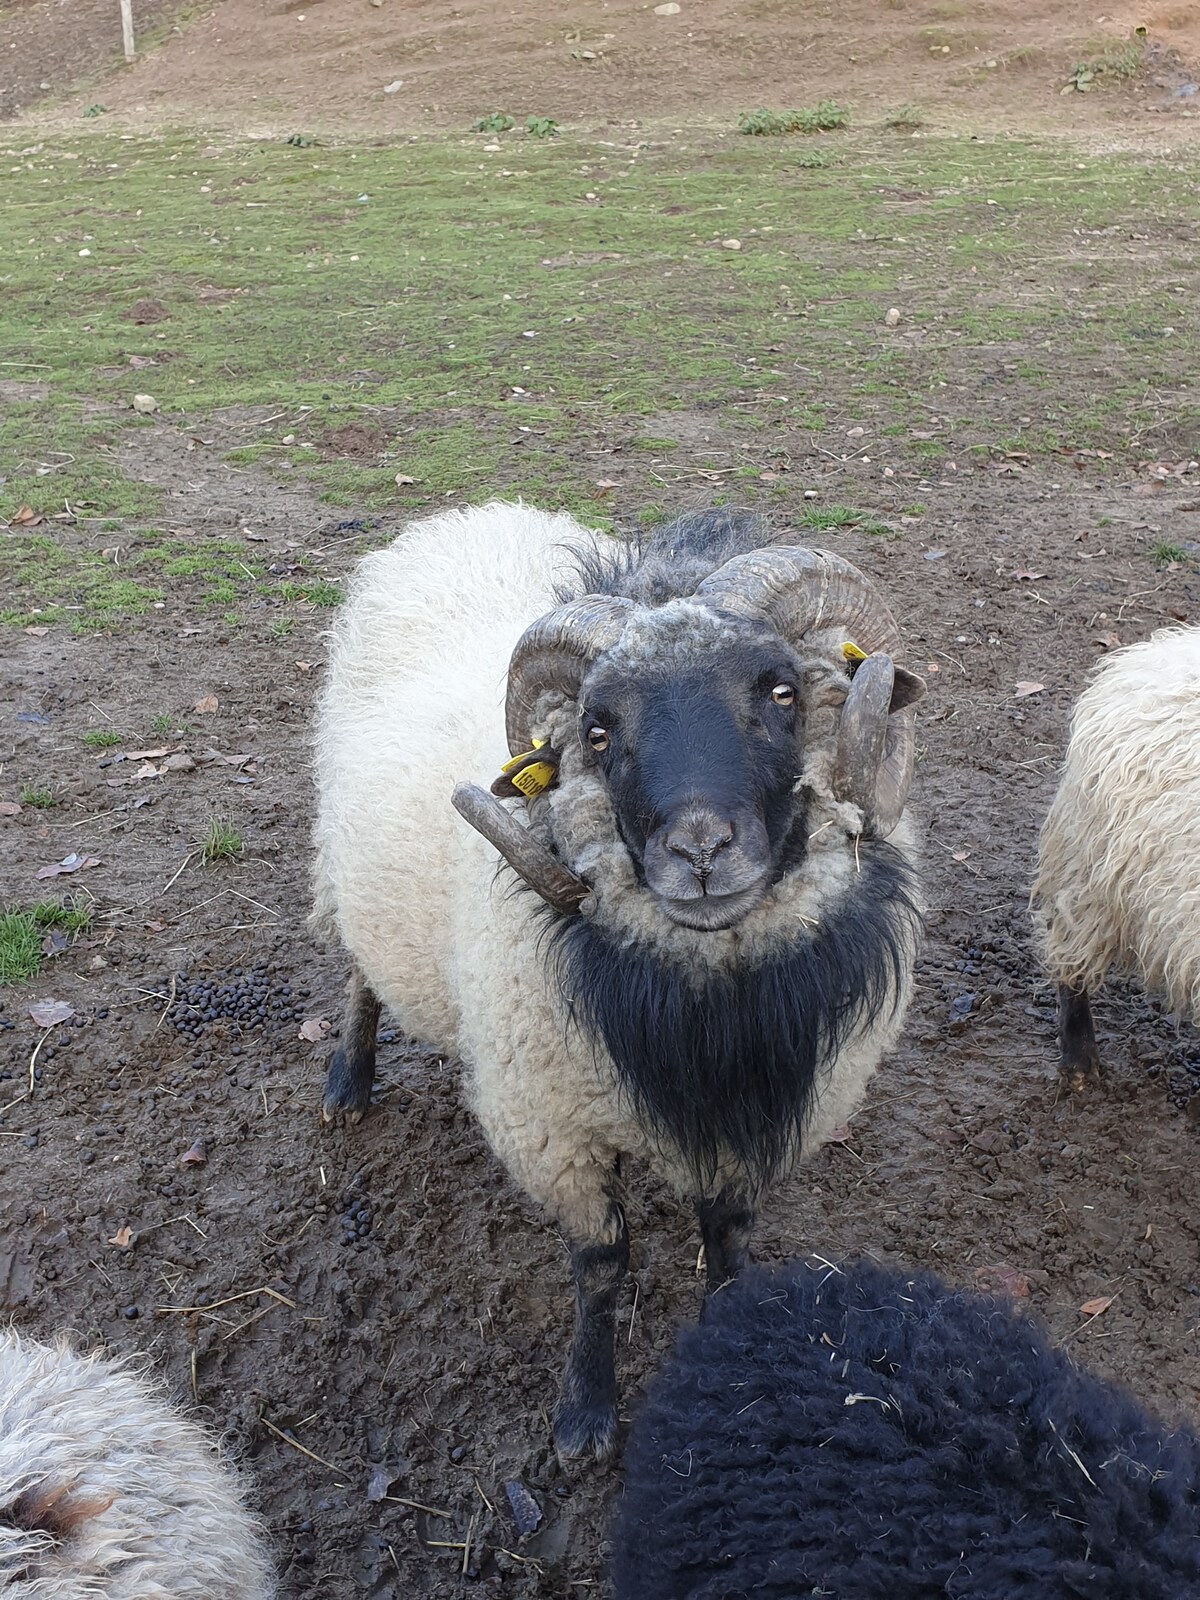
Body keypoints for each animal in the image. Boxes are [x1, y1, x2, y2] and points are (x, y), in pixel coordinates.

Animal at [312, 499, 928, 1465]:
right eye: (598, 733)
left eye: (781, 692)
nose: (701, 851)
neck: (716, 1012)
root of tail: (468, 514)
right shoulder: (552, 1127)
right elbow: (602, 1266)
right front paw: (584, 1413)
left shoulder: (760, 1116)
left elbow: (728, 1245)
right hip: (351, 871)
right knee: (362, 969)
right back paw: (349, 1077)